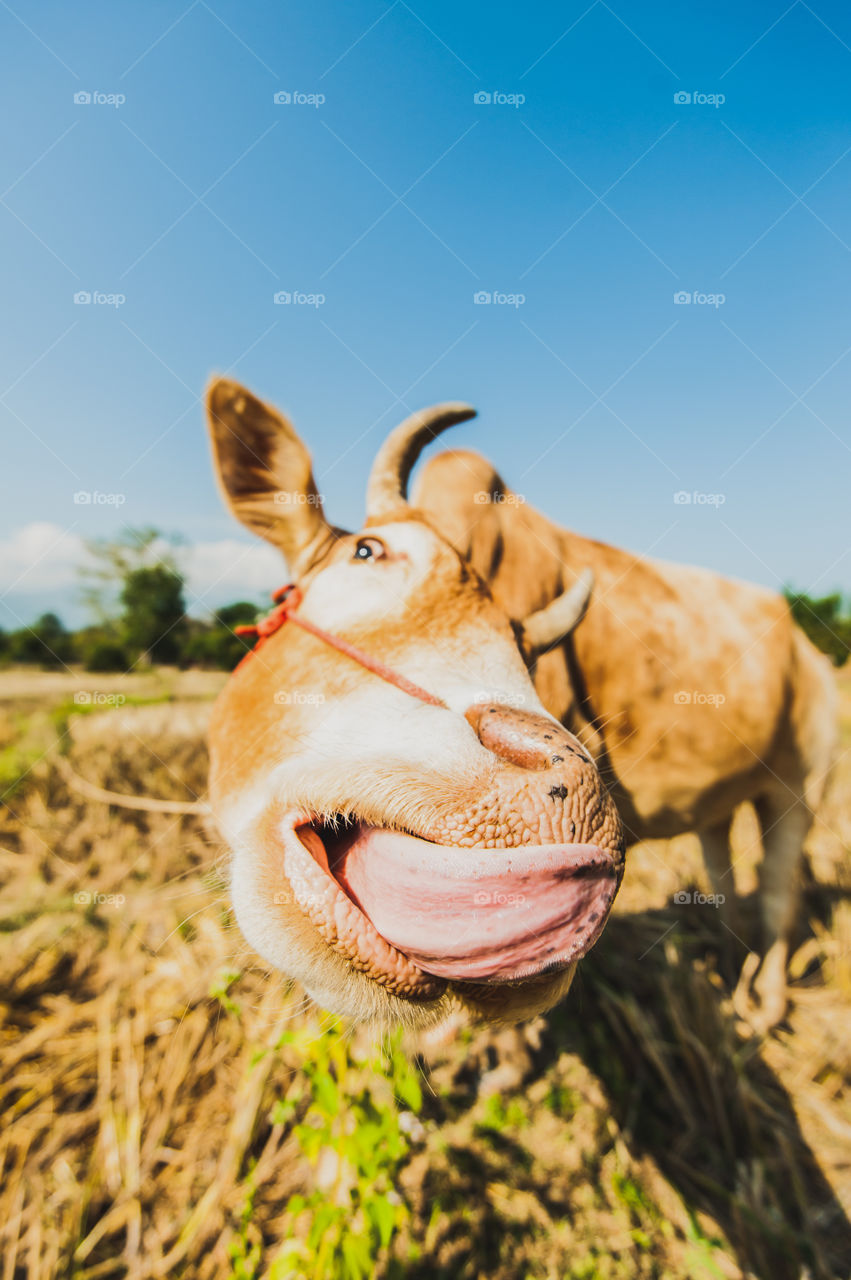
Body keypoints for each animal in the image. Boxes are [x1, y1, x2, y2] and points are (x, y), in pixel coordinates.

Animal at [411, 445, 838, 1029]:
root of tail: (807, 649)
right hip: (720, 806)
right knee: (723, 878)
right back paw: (727, 975)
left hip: (800, 784)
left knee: (779, 888)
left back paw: (766, 1007)